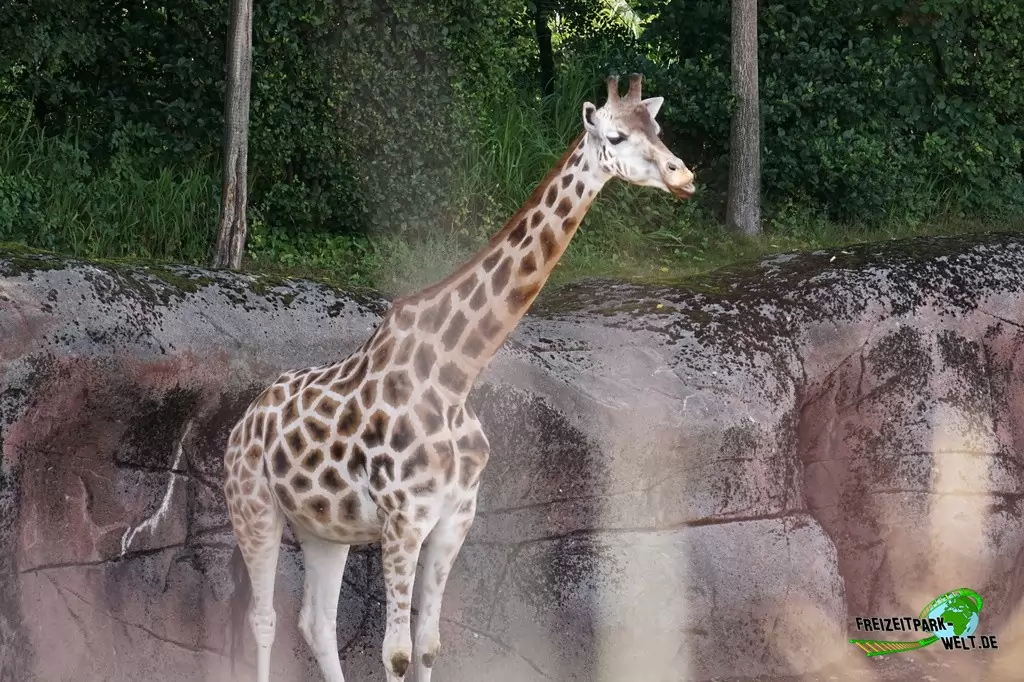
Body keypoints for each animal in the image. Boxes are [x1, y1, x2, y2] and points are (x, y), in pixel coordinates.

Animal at [222, 73, 696, 682]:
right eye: (614, 136)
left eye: (656, 128)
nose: (682, 175)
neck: (457, 375)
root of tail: (244, 420)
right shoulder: (402, 519)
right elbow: (397, 654)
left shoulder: (454, 518)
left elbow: (428, 646)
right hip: (252, 506)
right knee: (264, 620)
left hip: (324, 527)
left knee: (316, 622)